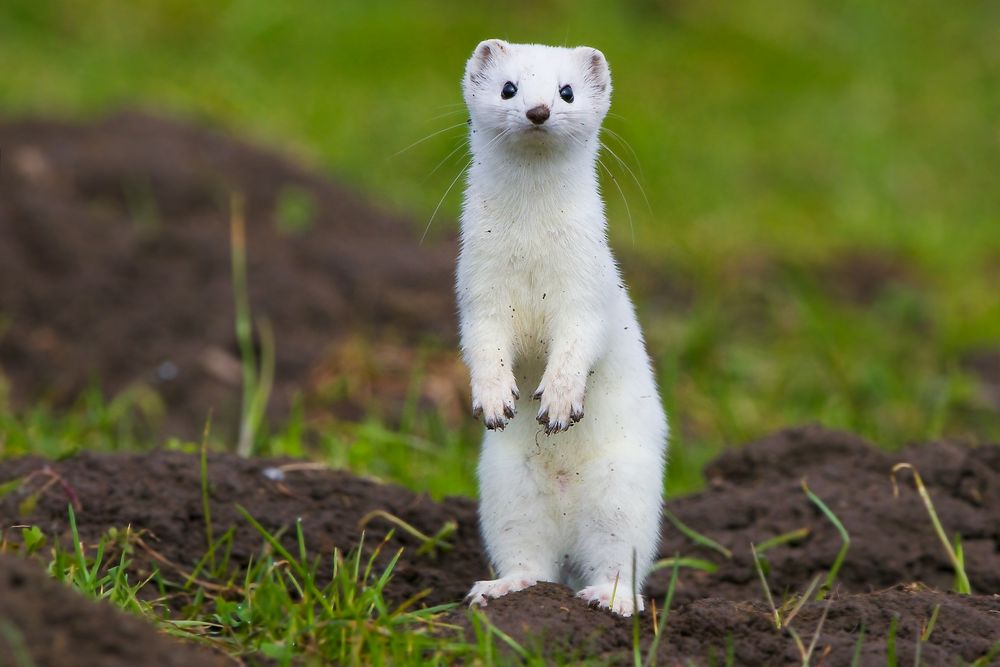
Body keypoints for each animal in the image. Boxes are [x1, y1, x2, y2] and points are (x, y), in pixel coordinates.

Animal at [458, 40, 668, 616]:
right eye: (509, 87)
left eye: (566, 91)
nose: (537, 110)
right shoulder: (477, 291)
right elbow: (481, 344)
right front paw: (495, 398)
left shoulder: (587, 292)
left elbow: (579, 343)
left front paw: (558, 400)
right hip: (506, 489)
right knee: (528, 558)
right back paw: (502, 587)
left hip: (625, 491)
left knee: (621, 559)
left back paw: (609, 599)